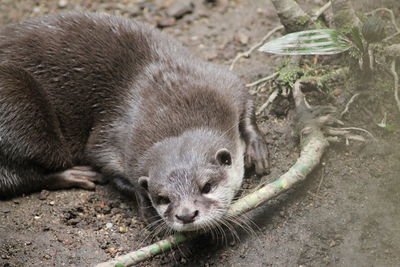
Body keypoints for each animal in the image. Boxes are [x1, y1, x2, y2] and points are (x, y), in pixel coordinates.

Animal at [0, 12, 270, 232]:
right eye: (162, 198)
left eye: (207, 186)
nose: (185, 215)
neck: (171, 107)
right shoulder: (112, 137)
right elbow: (107, 165)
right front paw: (145, 205)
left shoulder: (219, 82)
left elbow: (246, 102)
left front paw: (257, 149)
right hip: (16, 96)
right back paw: (74, 174)